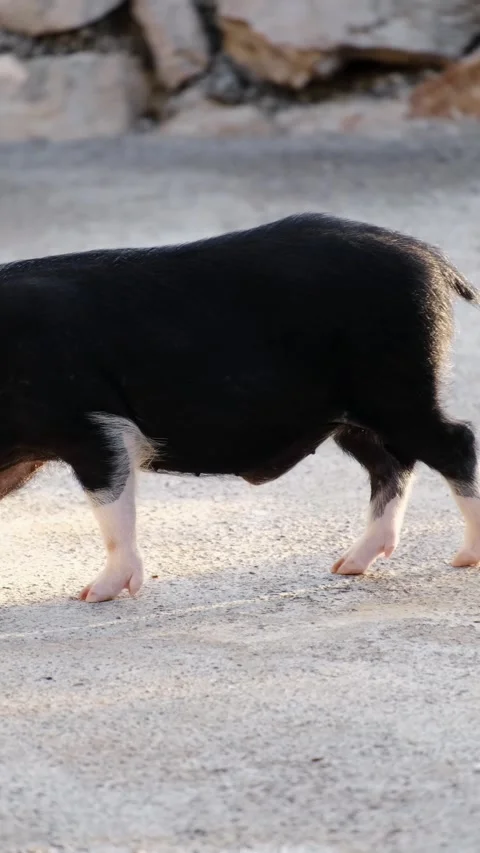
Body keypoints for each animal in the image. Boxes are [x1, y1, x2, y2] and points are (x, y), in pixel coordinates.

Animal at [0, 213, 478, 602]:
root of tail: (431, 257)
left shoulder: (93, 425)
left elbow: (111, 505)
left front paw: (91, 595)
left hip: (398, 388)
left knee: (456, 441)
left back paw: (463, 559)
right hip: (357, 417)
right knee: (393, 464)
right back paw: (346, 567)